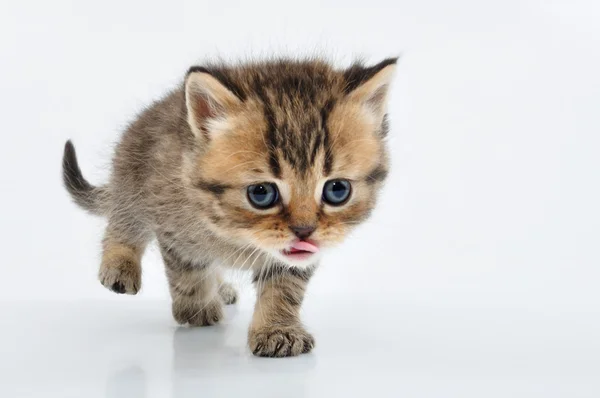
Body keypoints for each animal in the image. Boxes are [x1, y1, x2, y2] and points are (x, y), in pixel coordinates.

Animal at [63, 56, 396, 358]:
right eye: (261, 193)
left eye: (337, 190)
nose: (305, 231)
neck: (238, 236)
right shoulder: (172, 222)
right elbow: (189, 271)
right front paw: (196, 308)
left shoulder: (293, 259)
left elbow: (285, 287)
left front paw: (277, 329)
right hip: (131, 176)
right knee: (123, 221)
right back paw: (119, 266)